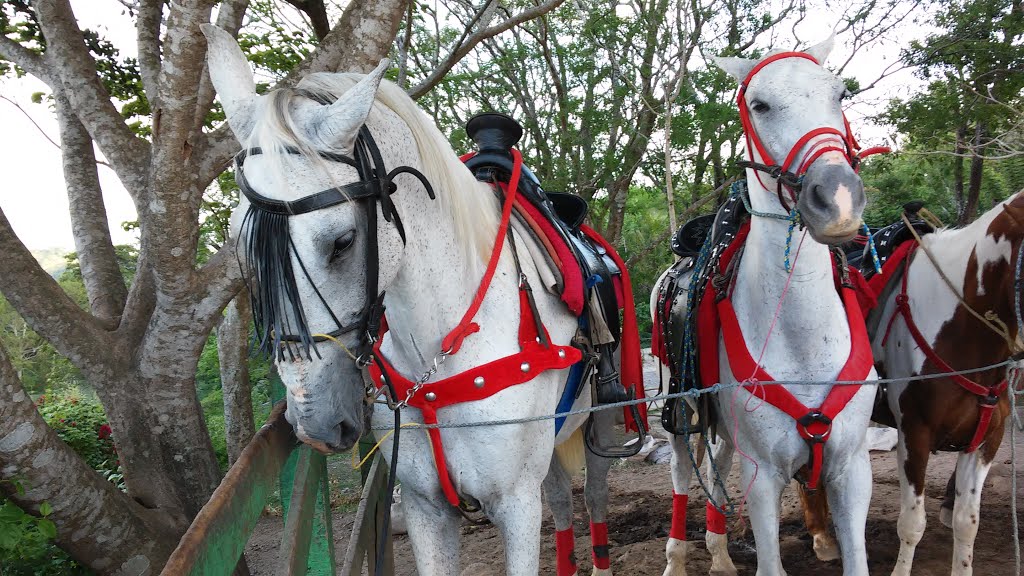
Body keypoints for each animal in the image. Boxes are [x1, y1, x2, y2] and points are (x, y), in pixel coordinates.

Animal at [203, 24, 598, 569]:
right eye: (245, 250)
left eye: (342, 242)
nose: (315, 422)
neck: (445, 347)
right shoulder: (424, 507)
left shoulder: (516, 504)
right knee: (560, 500)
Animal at [655, 36, 880, 573]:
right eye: (759, 105)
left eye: (840, 93)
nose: (838, 199)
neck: (803, 339)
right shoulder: (763, 479)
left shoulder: (852, 468)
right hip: (680, 406)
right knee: (681, 471)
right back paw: (677, 556)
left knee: (717, 464)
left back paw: (719, 553)